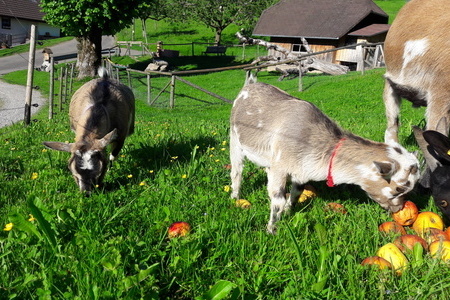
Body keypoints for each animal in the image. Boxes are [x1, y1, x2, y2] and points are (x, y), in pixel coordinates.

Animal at [230, 78, 420, 234]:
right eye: (398, 189)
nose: (398, 209)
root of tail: (249, 85)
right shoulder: (280, 166)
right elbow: (278, 200)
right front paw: (272, 229)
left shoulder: (300, 171)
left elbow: (296, 193)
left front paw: (289, 212)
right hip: (234, 140)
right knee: (236, 171)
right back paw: (235, 197)